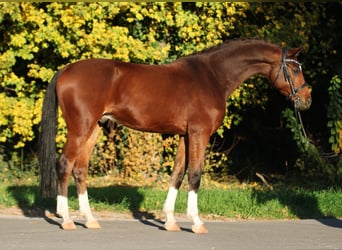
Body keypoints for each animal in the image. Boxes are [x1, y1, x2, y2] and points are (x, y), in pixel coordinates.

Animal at [38, 39, 312, 232]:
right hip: (80, 128)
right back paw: (66, 219)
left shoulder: (185, 135)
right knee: (64, 164)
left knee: (80, 169)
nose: (307, 99)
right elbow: (195, 174)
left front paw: (170, 221)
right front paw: (197, 222)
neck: (212, 76)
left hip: (93, 128)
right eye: (294, 70)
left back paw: (90, 219)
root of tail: (65, 70)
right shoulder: (200, 133)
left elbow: (178, 174)